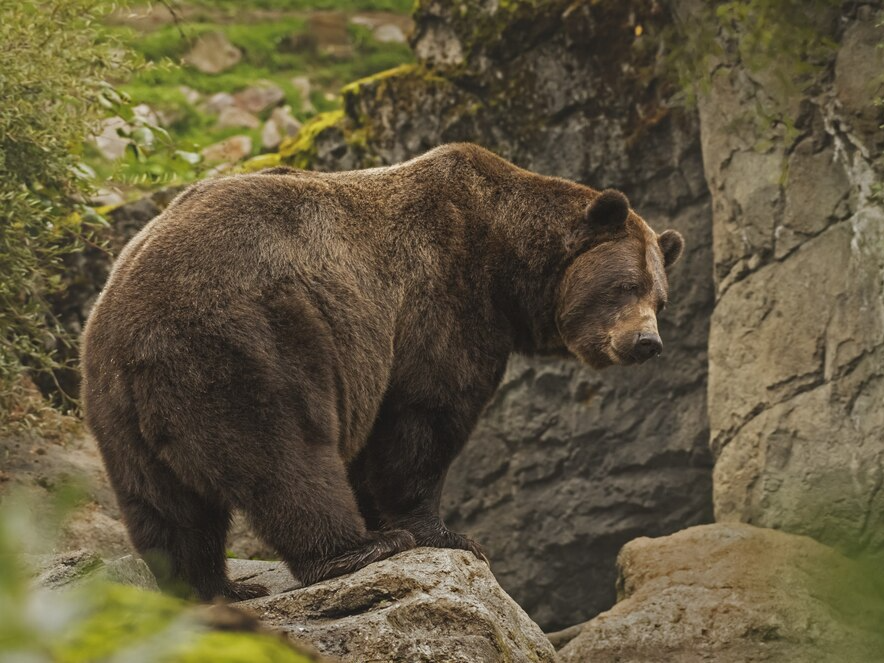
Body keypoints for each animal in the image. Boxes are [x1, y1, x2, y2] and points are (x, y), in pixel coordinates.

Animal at [81, 144, 684, 600]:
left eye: (660, 296)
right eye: (625, 286)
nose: (647, 343)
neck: (507, 263)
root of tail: (134, 334)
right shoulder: (441, 299)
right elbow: (424, 419)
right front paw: (445, 534)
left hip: (114, 403)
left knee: (165, 505)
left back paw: (212, 587)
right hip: (247, 341)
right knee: (285, 455)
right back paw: (354, 551)